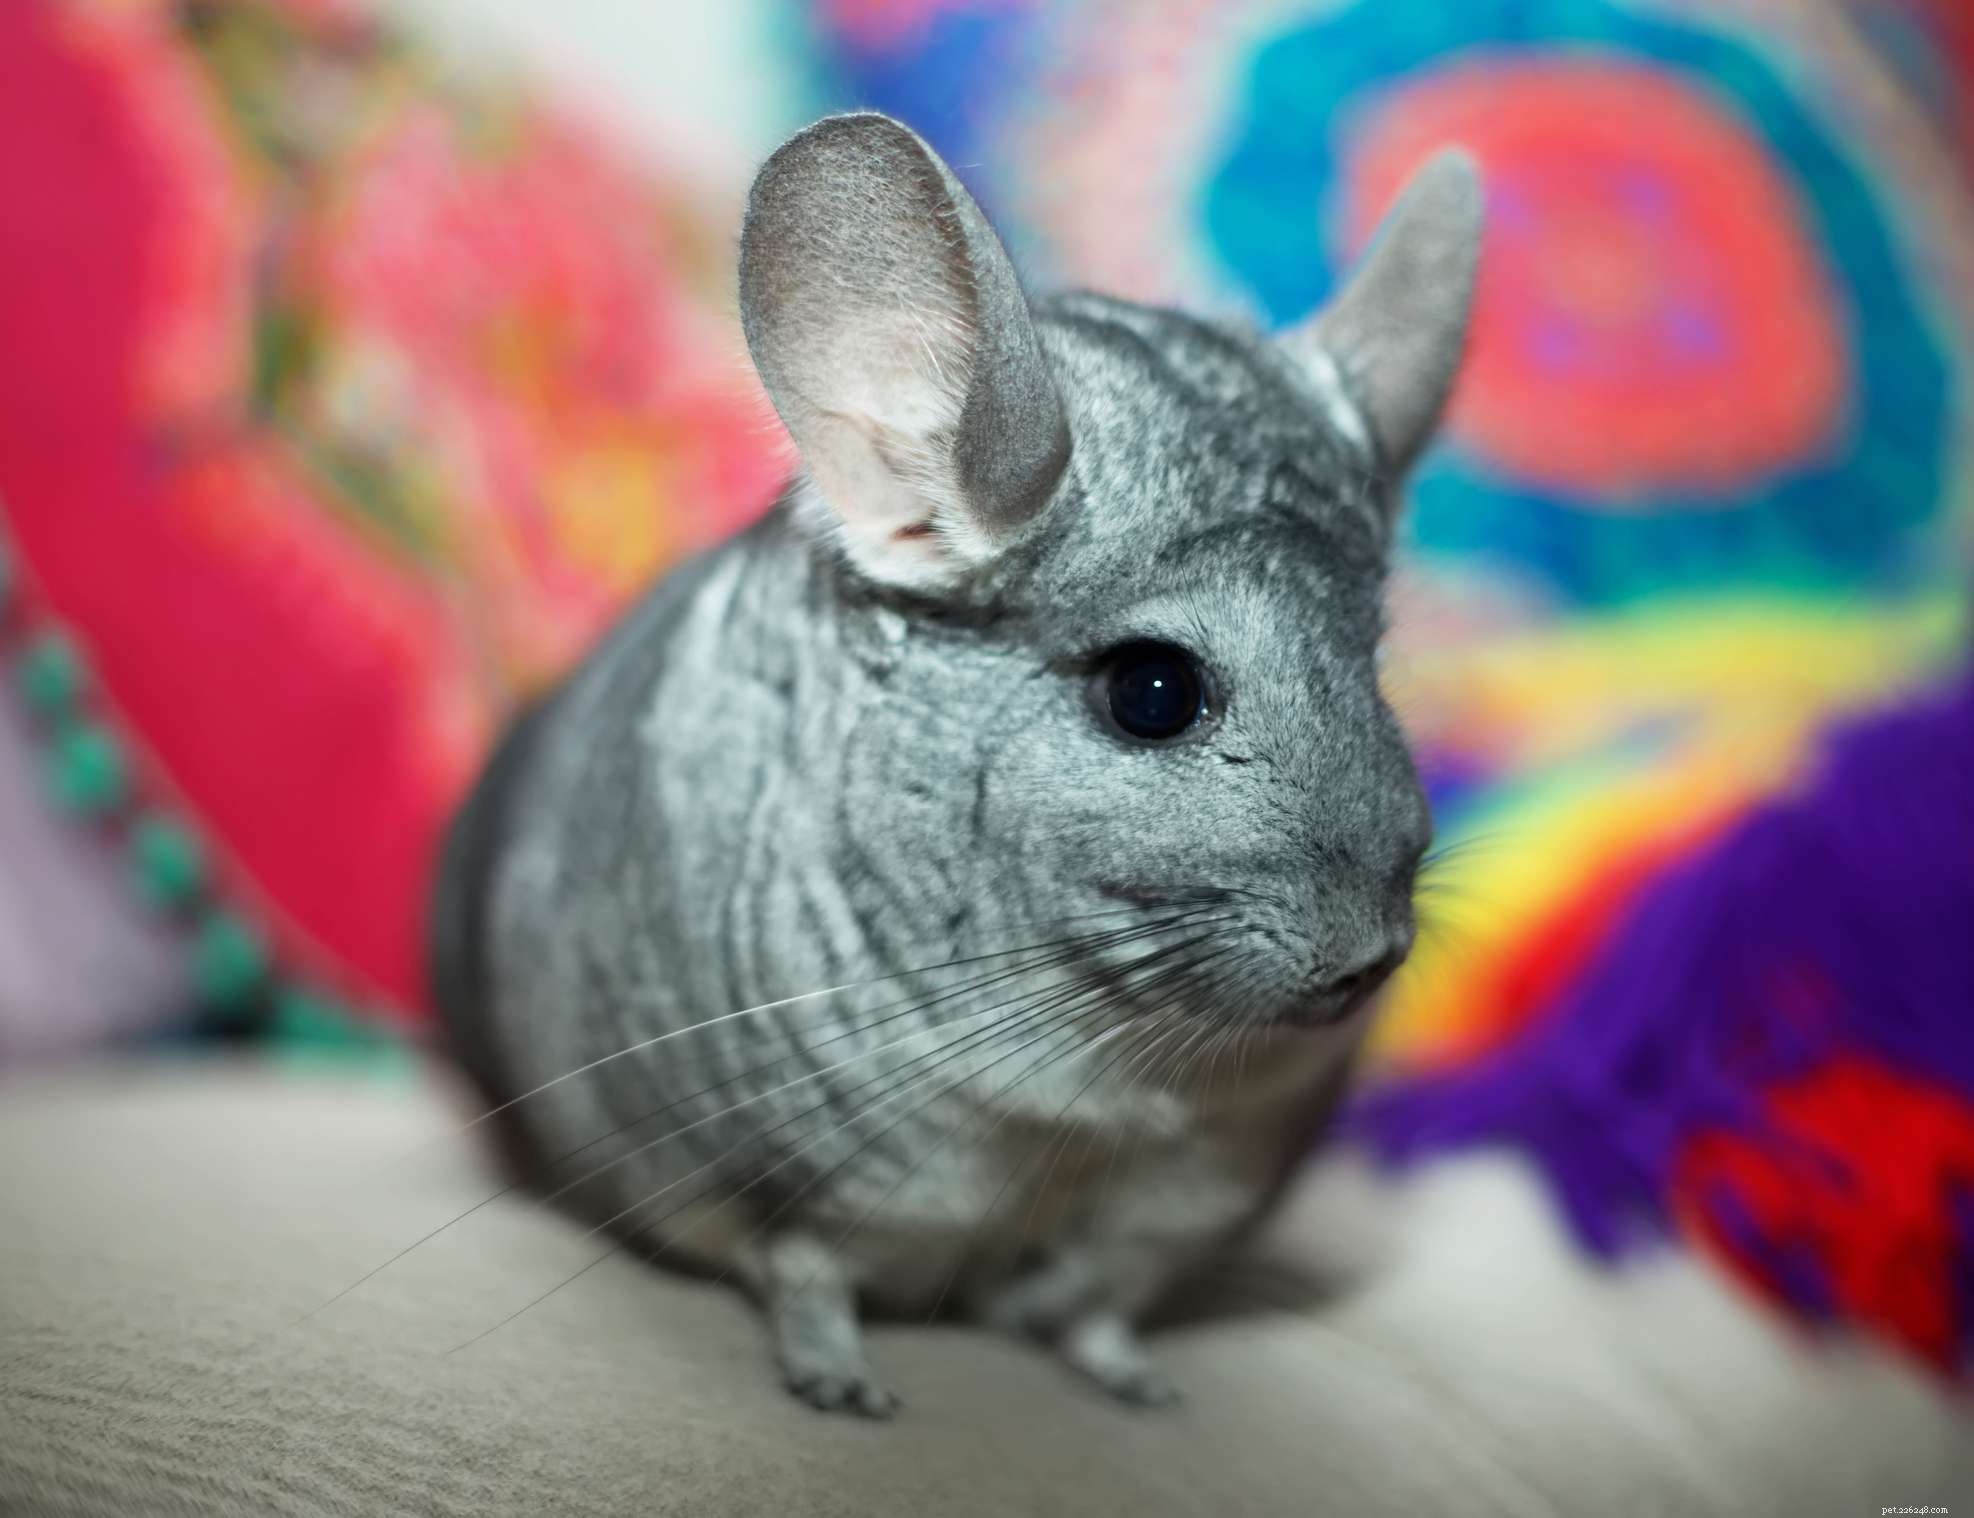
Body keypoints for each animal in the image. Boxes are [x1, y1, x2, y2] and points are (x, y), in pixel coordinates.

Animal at [433, 111, 1482, 1418]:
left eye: (1374, 661)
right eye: (1153, 693)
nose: (1369, 961)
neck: (1082, 1057)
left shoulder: (1173, 1215)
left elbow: (1095, 1312)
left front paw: (1141, 1388)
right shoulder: (778, 1179)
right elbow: (804, 1276)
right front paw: (846, 1394)